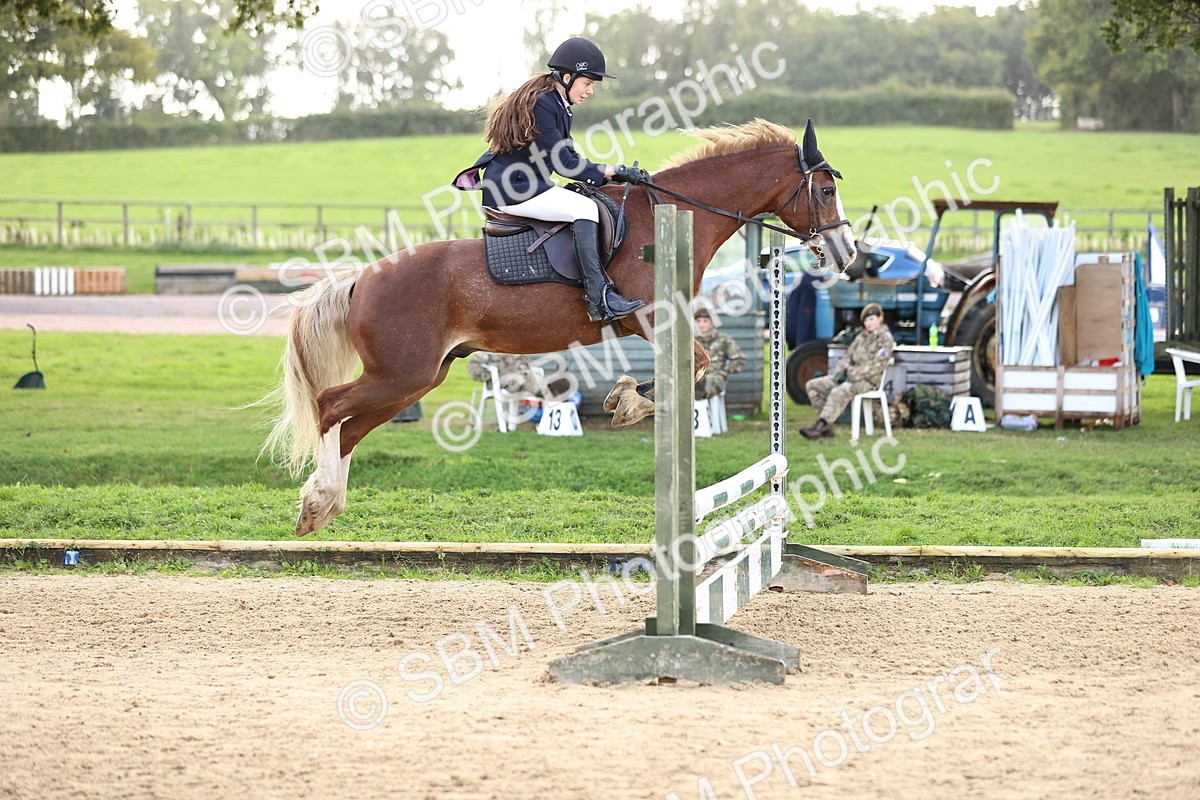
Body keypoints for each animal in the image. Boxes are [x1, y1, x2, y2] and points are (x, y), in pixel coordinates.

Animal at [261, 118, 857, 536]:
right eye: (826, 191)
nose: (847, 252)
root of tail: (362, 277)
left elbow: (689, 369)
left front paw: (624, 396)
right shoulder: (651, 318)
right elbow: (698, 364)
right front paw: (632, 403)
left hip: (415, 378)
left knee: (350, 427)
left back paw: (324, 507)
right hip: (400, 374)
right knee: (331, 408)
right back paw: (318, 502)